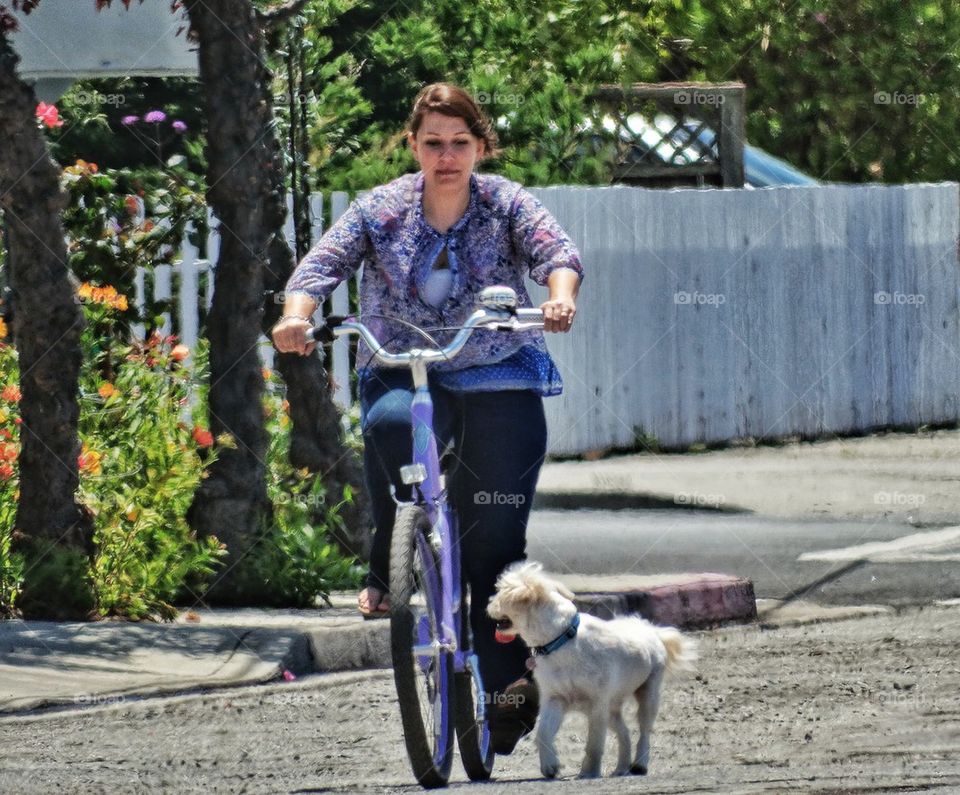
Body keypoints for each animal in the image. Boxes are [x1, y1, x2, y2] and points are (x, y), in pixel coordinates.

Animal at [488, 564, 696, 780]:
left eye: (500, 595)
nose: (488, 605)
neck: (562, 640)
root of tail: (652, 630)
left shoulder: (597, 705)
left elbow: (594, 744)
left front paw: (590, 772)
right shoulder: (555, 699)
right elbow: (543, 733)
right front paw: (550, 765)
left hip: (647, 695)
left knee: (644, 731)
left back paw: (639, 764)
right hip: (612, 709)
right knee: (624, 733)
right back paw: (621, 767)